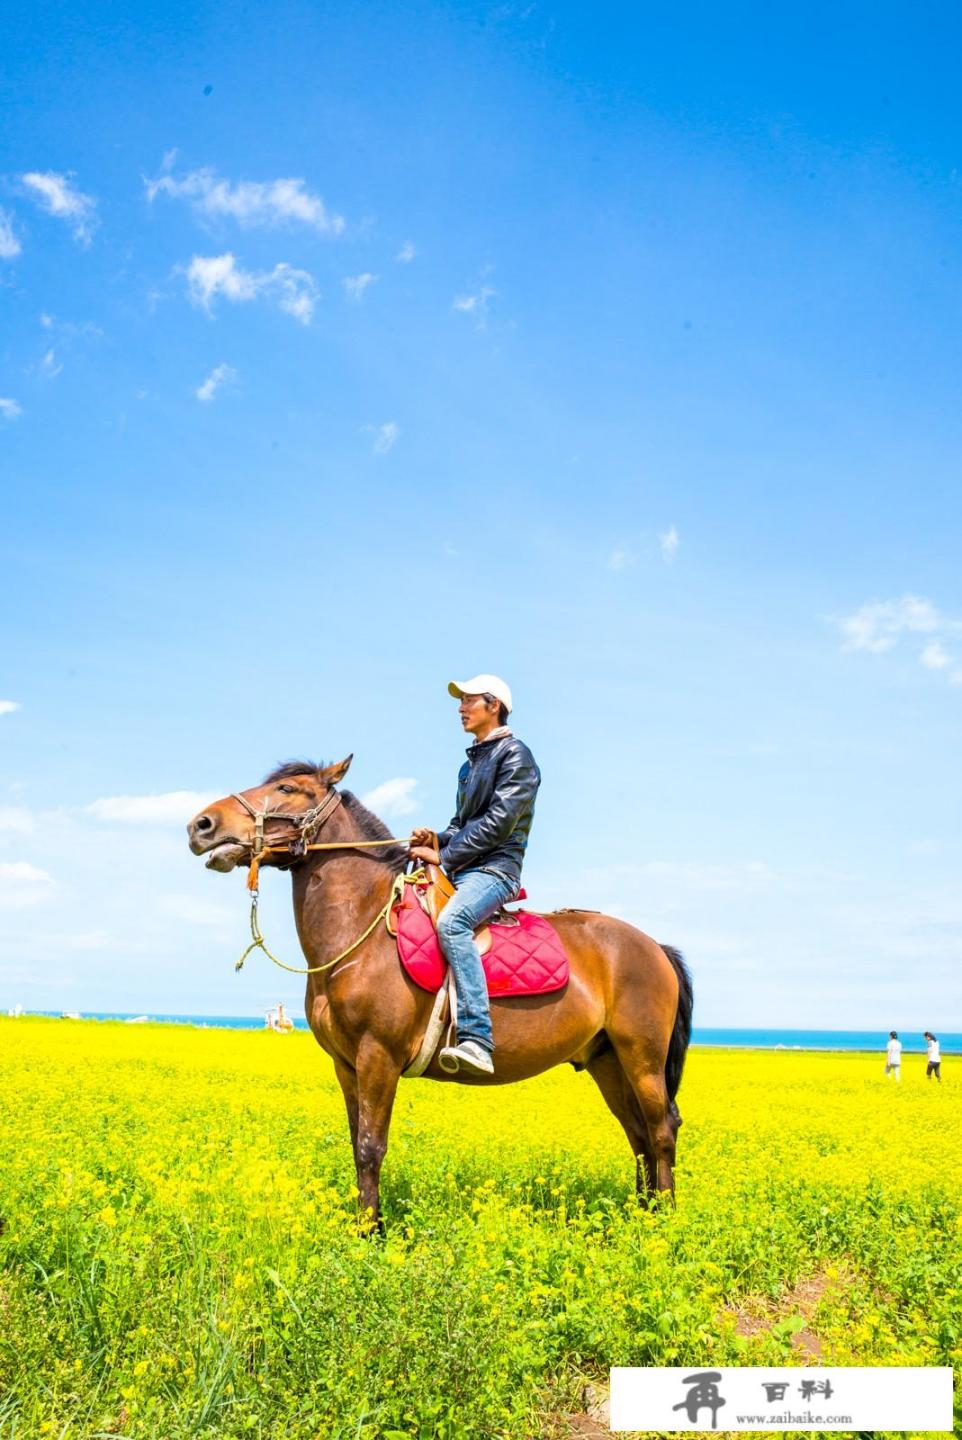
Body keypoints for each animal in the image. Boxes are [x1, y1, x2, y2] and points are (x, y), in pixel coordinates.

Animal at [187, 760, 691, 1221]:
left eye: (288, 788)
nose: (201, 825)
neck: (363, 933)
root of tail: (654, 948)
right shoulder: (345, 1064)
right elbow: (356, 1143)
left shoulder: (378, 1056)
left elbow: (370, 1146)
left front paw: (370, 1234)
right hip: (606, 1060)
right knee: (638, 1134)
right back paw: (643, 1217)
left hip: (641, 1056)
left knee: (661, 1129)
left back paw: (665, 1221)